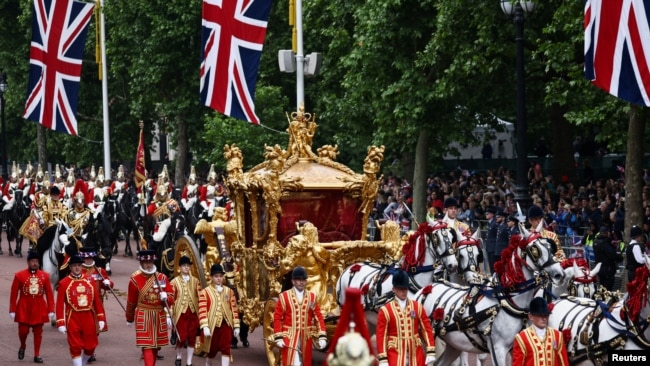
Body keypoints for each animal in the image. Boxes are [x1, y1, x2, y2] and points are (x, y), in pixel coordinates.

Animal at [416, 223, 560, 366]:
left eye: (550, 247)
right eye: (535, 250)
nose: (559, 274)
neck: (507, 301)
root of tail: (425, 289)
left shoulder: (517, 346)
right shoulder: (498, 349)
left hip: (454, 345)